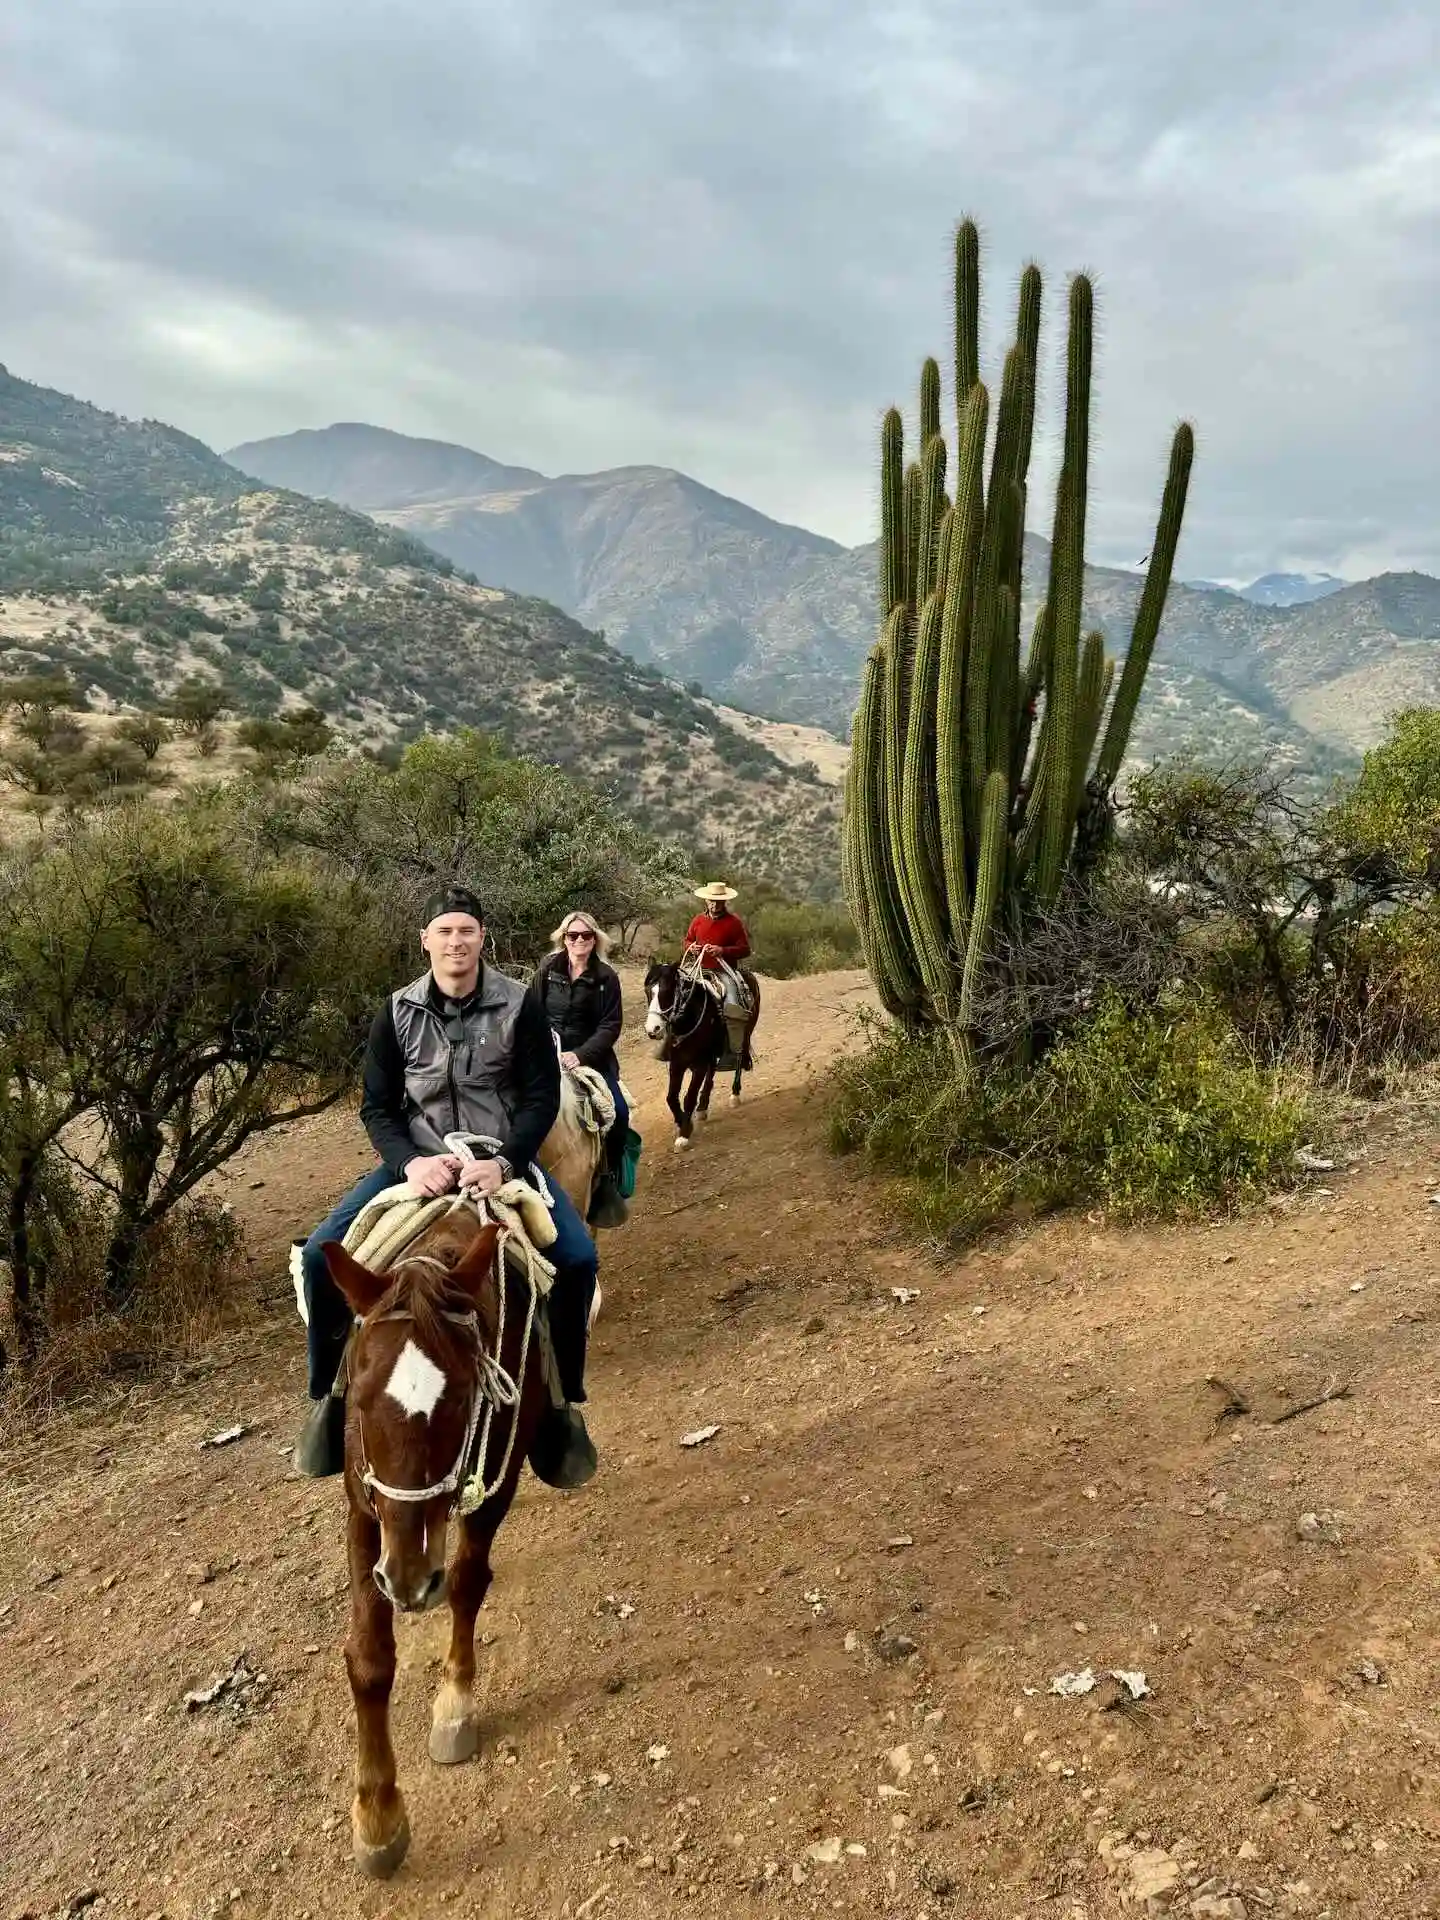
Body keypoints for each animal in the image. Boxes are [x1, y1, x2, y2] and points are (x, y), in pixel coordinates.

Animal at [322, 1205, 552, 1881]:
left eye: (465, 1398)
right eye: (360, 1396)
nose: (408, 1578)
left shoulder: (497, 1481)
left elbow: (469, 1583)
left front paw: (455, 1703)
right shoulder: (363, 1506)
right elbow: (369, 1658)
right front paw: (378, 1817)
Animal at [645, 952, 760, 1144]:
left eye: (667, 991)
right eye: (647, 991)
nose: (653, 1029)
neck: (688, 1019)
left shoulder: (699, 1063)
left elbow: (689, 1097)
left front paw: (684, 1133)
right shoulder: (677, 1063)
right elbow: (671, 1098)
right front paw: (681, 1121)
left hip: (744, 1034)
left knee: (738, 1059)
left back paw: (734, 1095)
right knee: (711, 1072)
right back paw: (703, 1106)